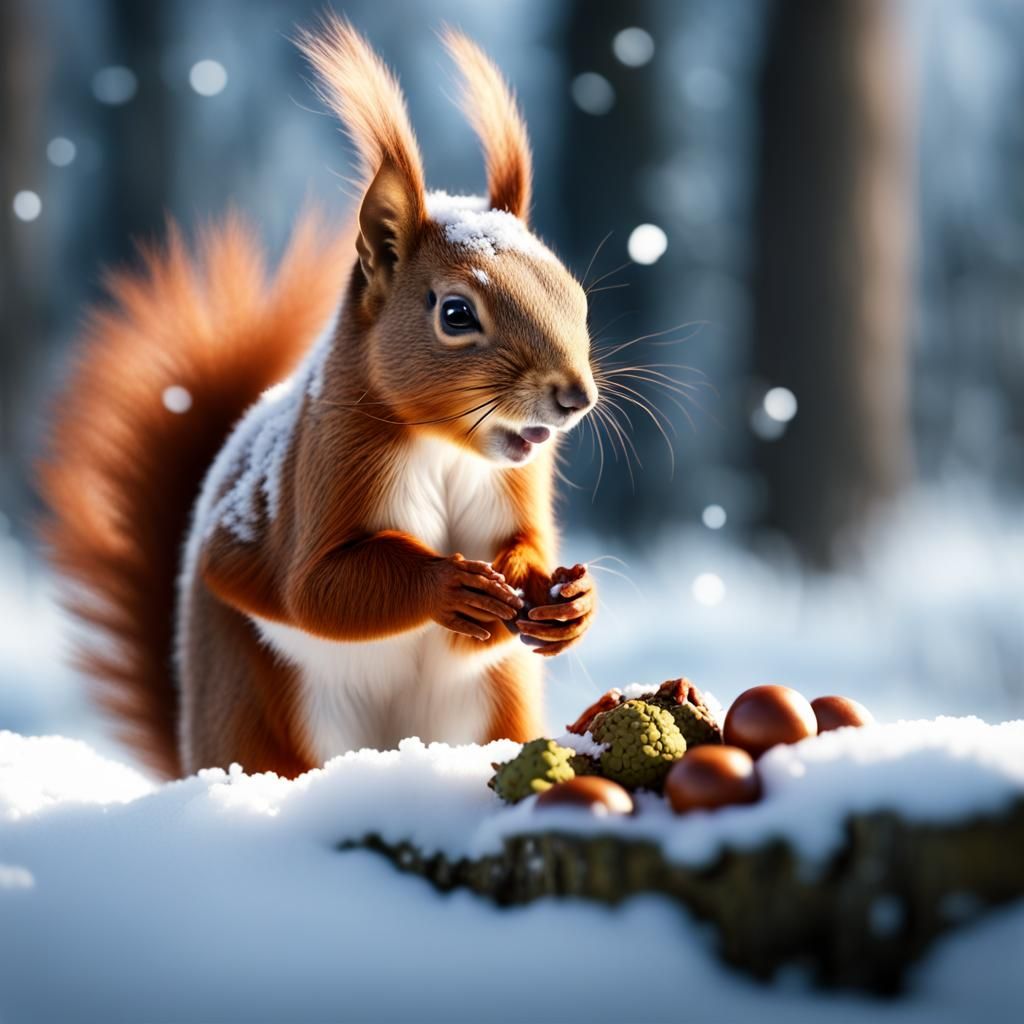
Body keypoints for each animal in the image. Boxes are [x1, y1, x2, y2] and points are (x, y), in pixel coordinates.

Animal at [38, 18, 599, 780]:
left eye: (575, 293)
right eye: (456, 314)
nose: (575, 396)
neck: (445, 450)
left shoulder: (517, 483)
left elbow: (524, 547)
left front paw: (563, 599)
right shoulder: (328, 468)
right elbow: (321, 589)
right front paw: (449, 587)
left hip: (497, 705)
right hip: (258, 710)